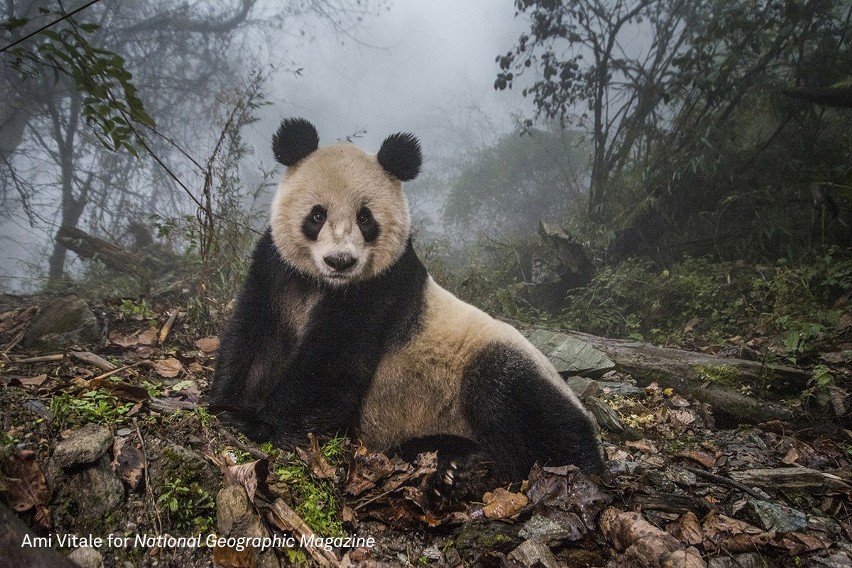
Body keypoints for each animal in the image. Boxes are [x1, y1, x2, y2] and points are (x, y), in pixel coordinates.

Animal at [210, 117, 604, 500]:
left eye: (365, 218)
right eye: (317, 215)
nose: (341, 261)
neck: (323, 284)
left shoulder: (380, 289)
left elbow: (331, 364)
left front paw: (262, 422)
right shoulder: (275, 270)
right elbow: (252, 337)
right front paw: (227, 405)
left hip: (502, 365)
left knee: (520, 405)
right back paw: (454, 461)